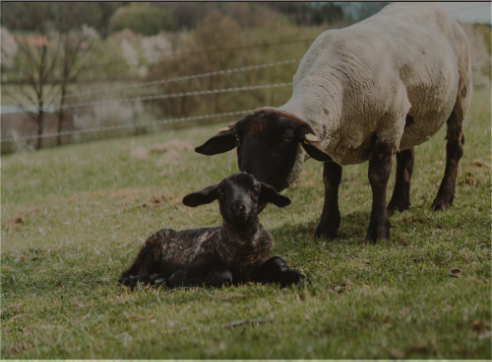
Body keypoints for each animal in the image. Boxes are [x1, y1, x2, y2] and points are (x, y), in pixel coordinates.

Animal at [117, 172, 310, 288]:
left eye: (255, 191)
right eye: (221, 192)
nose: (238, 207)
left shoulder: (258, 267)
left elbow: (278, 262)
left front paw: (299, 279)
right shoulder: (198, 263)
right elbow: (223, 274)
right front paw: (179, 278)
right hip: (148, 254)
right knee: (128, 274)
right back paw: (144, 279)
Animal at [193, 2, 472, 243]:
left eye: (286, 139)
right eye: (238, 140)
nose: (245, 199)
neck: (332, 82)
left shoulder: (388, 124)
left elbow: (378, 176)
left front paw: (378, 232)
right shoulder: (333, 140)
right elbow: (331, 179)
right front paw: (326, 227)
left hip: (460, 92)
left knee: (454, 147)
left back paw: (442, 200)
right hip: (407, 120)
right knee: (407, 156)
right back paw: (398, 205)